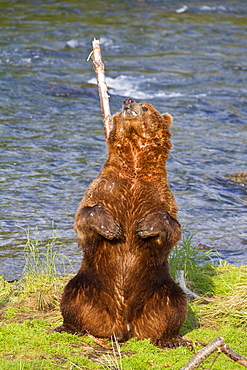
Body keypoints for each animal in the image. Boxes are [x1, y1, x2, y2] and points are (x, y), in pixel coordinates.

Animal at [57, 98, 187, 346]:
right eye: (121, 107)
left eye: (146, 107)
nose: (128, 101)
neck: (135, 167)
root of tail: (123, 325)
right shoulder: (104, 188)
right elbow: (84, 214)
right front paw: (111, 227)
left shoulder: (161, 196)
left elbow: (173, 226)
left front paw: (145, 226)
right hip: (90, 283)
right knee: (72, 296)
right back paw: (69, 326)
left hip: (158, 286)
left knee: (174, 303)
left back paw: (169, 338)